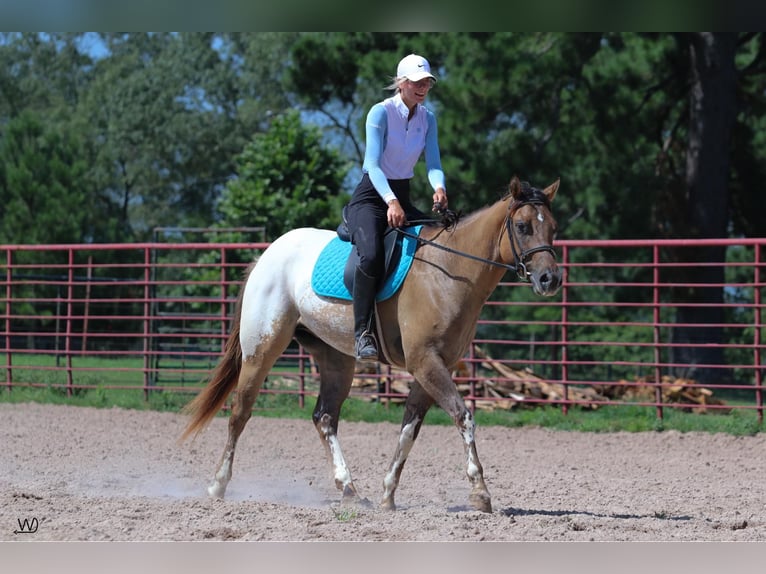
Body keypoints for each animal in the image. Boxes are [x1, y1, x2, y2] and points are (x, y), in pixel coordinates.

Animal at [180, 174, 564, 512]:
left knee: (324, 417)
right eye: (523, 227)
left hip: (337, 360)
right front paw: (480, 492)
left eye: (553, 228)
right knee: (240, 413)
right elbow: (463, 416)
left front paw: (388, 494)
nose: (550, 279)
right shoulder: (426, 363)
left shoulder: (432, 368)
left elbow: (409, 429)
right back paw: (217, 485)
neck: (449, 271)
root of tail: (267, 255)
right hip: (261, 351)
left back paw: (349, 489)